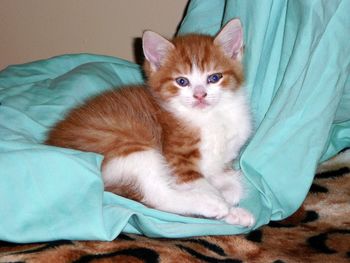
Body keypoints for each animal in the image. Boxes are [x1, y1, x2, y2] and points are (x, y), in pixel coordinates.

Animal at [45, 19, 254, 228]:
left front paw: (230, 204)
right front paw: (223, 205)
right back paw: (212, 205)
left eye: (214, 78)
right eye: (182, 81)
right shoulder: (178, 160)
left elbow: (233, 184)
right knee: (157, 196)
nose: (200, 95)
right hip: (129, 145)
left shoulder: (221, 163)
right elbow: (202, 185)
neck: (212, 116)